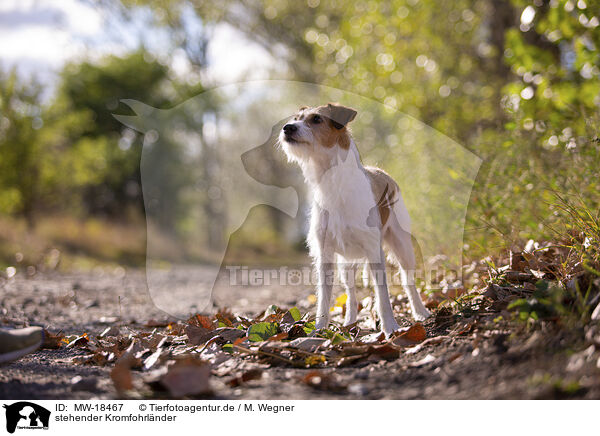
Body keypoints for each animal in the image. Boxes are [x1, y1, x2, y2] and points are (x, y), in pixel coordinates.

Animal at [278, 103, 428, 338]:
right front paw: (319, 329)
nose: (287, 128)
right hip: (346, 264)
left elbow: (383, 294)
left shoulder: (374, 250)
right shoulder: (325, 255)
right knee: (350, 291)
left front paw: (390, 327)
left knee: (408, 281)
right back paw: (349, 321)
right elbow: (324, 297)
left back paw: (420, 312)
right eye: (296, 118)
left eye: (316, 119)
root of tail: (382, 172)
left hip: (402, 248)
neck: (334, 182)